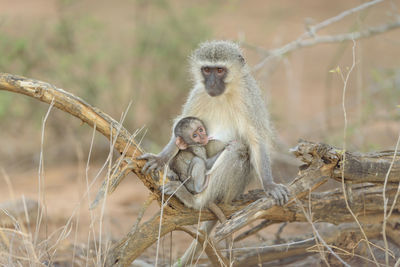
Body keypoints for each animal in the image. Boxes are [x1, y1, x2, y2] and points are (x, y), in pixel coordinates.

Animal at [139, 39, 290, 264]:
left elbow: (256, 140)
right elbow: (179, 132)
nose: (210, 84)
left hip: (232, 189)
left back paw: (194, 200)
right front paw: (160, 158)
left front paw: (269, 184)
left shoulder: (248, 98)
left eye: (220, 70)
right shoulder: (198, 93)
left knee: (237, 150)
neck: (224, 95)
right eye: (207, 70)